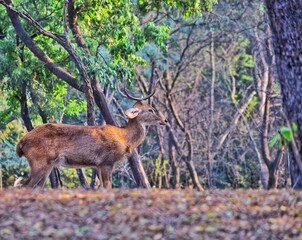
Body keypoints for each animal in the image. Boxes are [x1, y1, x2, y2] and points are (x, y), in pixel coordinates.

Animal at [15, 79, 166, 189]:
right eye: (150, 110)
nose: (164, 120)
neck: (125, 138)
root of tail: (21, 142)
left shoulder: (98, 166)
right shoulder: (106, 162)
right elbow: (108, 188)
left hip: (48, 165)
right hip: (39, 162)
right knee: (24, 186)